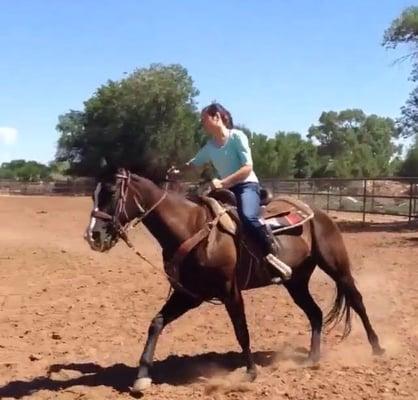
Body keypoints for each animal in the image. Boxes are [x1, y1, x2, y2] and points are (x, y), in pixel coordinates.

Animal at [85, 168, 386, 394]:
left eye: (112, 193)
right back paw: (313, 358)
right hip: (296, 282)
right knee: (315, 313)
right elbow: (156, 323)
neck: (192, 228)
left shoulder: (230, 291)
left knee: (357, 300)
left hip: (337, 267)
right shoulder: (190, 295)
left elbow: (242, 330)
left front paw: (250, 371)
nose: (93, 236)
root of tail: (317, 212)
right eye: (94, 194)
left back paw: (377, 348)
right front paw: (142, 377)